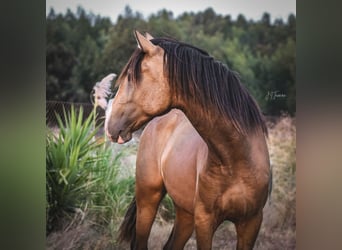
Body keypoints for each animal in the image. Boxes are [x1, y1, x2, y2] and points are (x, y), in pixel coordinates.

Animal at [105, 31, 272, 250]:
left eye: (132, 78)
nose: (109, 126)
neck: (235, 159)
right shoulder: (204, 221)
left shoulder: (251, 222)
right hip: (148, 199)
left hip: (185, 213)